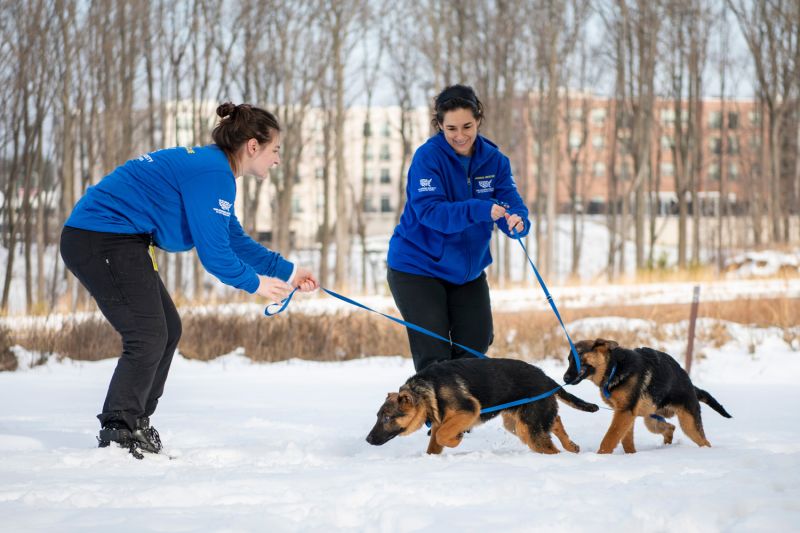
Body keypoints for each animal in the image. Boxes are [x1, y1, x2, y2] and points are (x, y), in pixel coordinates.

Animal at [366, 358, 596, 454]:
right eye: (377, 416)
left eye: (387, 418)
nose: (368, 440)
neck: (426, 390)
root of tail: (547, 379)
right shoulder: (441, 420)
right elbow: (434, 444)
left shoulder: (468, 410)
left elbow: (441, 435)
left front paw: (456, 440)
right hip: (517, 423)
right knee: (555, 421)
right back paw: (571, 446)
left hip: (527, 428)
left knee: (549, 446)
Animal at [564, 338, 732, 450]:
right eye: (568, 360)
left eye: (577, 358)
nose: (564, 378)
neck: (614, 368)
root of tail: (689, 383)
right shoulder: (626, 414)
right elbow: (626, 440)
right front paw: (631, 456)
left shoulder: (624, 413)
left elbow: (610, 438)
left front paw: (601, 456)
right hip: (652, 420)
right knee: (670, 427)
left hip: (688, 424)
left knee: (704, 441)